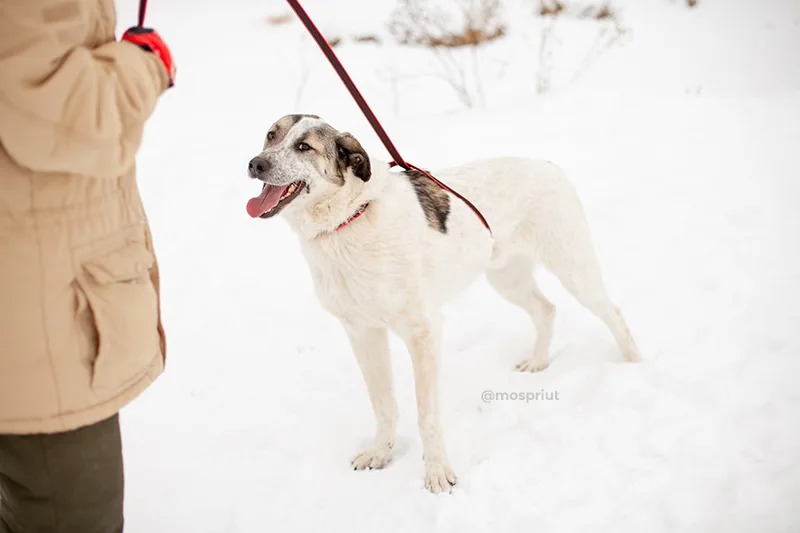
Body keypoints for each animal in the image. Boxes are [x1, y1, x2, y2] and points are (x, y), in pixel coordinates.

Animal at [247, 114, 640, 492]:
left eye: (304, 146)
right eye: (271, 135)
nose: (255, 164)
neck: (349, 218)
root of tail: (547, 164)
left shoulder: (423, 333)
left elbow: (427, 416)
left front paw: (437, 473)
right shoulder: (363, 333)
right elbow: (383, 404)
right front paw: (381, 453)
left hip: (574, 269)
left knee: (613, 312)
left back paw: (633, 363)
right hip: (506, 278)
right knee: (546, 309)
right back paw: (539, 362)